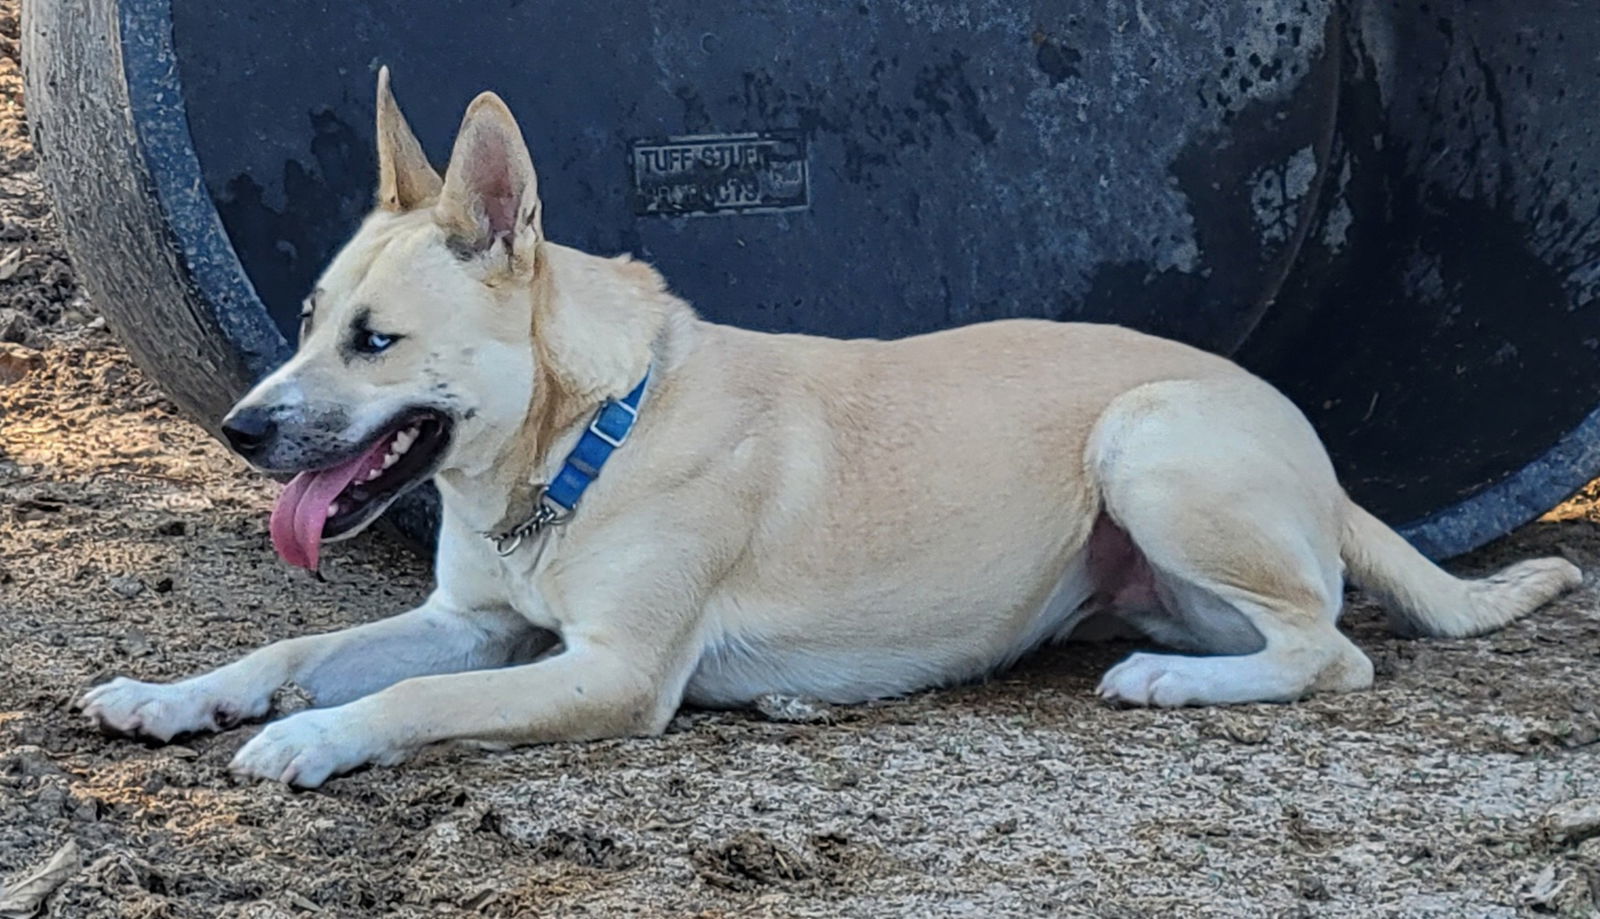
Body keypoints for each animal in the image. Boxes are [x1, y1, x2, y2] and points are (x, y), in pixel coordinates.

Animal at [81, 73, 1580, 794]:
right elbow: (293, 651)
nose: (240, 427)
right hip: (1158, 566)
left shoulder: (606, 674)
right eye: (305, 316)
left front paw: (311, 741)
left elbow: (404, 699)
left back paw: (1172, 687)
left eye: (375, 341)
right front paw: (174, 693)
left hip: (1149, 448)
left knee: (1330, 649)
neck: (586, 441)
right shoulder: (470, 621)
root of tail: (1302, 436)